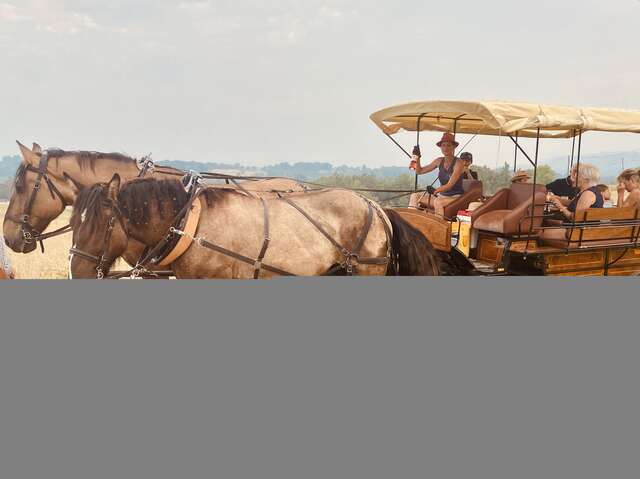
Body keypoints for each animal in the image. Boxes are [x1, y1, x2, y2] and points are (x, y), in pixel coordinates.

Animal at [69, 175, 440, 282]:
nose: (75, 273)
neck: (193, 226)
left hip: (366, 270)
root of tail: (377, 207)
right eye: (73, 222)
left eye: (102, 225)